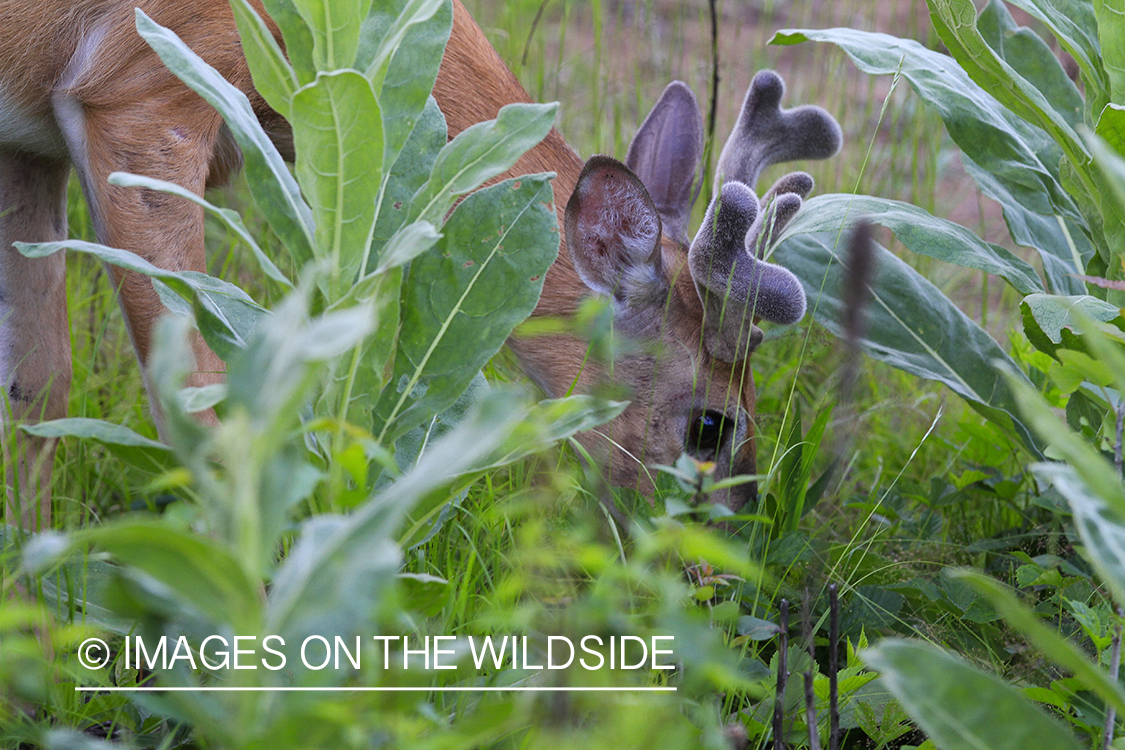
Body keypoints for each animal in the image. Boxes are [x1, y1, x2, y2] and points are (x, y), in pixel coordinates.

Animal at [0, 0, 840, 530]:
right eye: (710, 426)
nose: (713, 569)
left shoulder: (27, 147)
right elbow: (204, 408)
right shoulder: (145, 98)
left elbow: (37, 385)